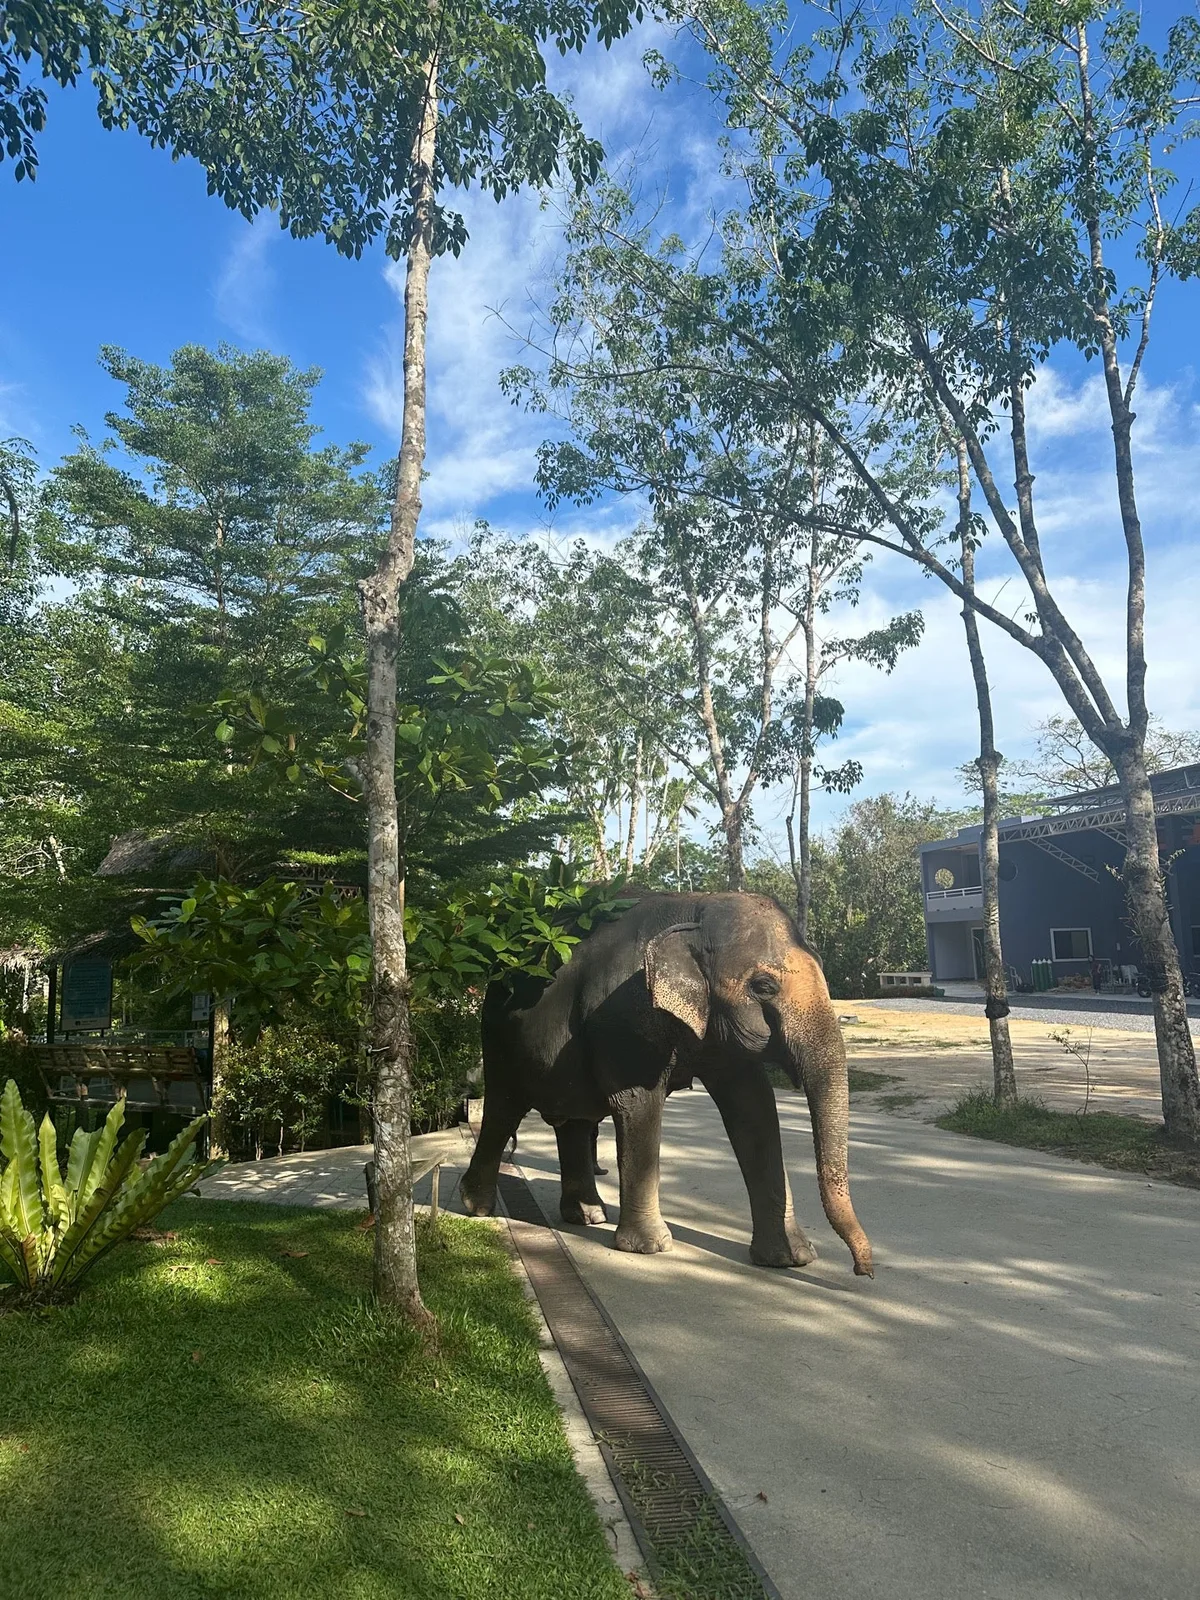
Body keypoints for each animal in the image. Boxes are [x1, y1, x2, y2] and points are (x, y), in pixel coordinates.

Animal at [459, 892, 873, 1277]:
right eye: (764, 986)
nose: (863, 1270)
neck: (697, 910)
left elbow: (753, 1106)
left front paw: (791, 1259)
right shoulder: (625, 1015)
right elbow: (637, 1103)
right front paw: (649, 1248)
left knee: (575, 1120)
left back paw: (588, 1215)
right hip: (497, 1039)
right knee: (503, 1110)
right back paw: (475, 1206)